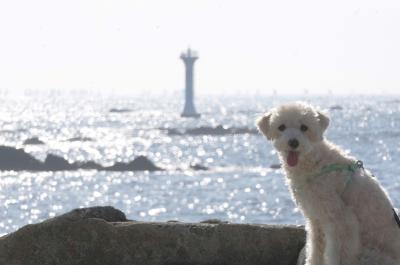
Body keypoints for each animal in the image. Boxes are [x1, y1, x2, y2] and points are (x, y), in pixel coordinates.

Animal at [256, 101, 400, 264]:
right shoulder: (316, 220)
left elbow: (338, 255)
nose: (293, 142)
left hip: (369, 254)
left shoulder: (341, 221)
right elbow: (315, 250)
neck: (315, 162)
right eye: (281, 127)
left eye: (304, 127)